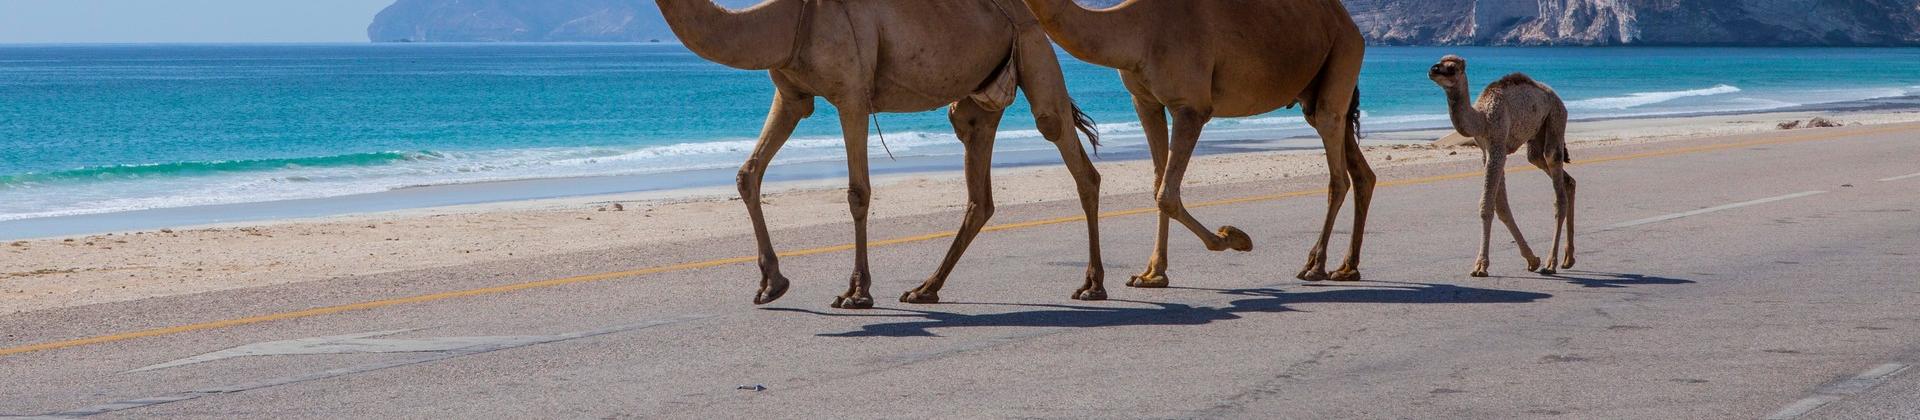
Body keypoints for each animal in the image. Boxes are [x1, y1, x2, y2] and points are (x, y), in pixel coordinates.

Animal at [660, 0, 1113, 308]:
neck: (789, 20)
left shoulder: (852, 95)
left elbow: (857, 192)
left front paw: (857, 292)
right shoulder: (792, 95)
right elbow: (747, 174)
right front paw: (772, 284)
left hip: (1034, 45)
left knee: (1067, 146)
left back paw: (1093, 285)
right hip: (979, 96)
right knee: (978, 188)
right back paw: (925, 288)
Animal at [1021, 0, 1382, 283]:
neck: (1136, 29)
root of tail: (1351, 24)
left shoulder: (1191, 107)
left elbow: (1167, 194)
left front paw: (1233, 238)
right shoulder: (1145, 102)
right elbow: (1158, 185)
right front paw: (1152, 274)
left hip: (1343, 55)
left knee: (1337, 172)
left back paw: (1315, 266)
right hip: (1313, 89)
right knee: (1360, 171)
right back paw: (1347, 267)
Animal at [1428, 56, 1574, 278]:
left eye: (1451, 68)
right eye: (1439, 61)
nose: (1433, 70)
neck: (1481, 119)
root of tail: (1556, 97)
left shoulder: (1497, 147)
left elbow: (1486, 206)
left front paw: (1480, 266)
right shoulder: (1487, 151)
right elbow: (1502, 207)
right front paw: (1532, 259)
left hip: (1556, 118)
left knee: (1556, 179)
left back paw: (1551, 263)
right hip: (1537, 137)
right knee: (1561, 175)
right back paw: (1568, 259)